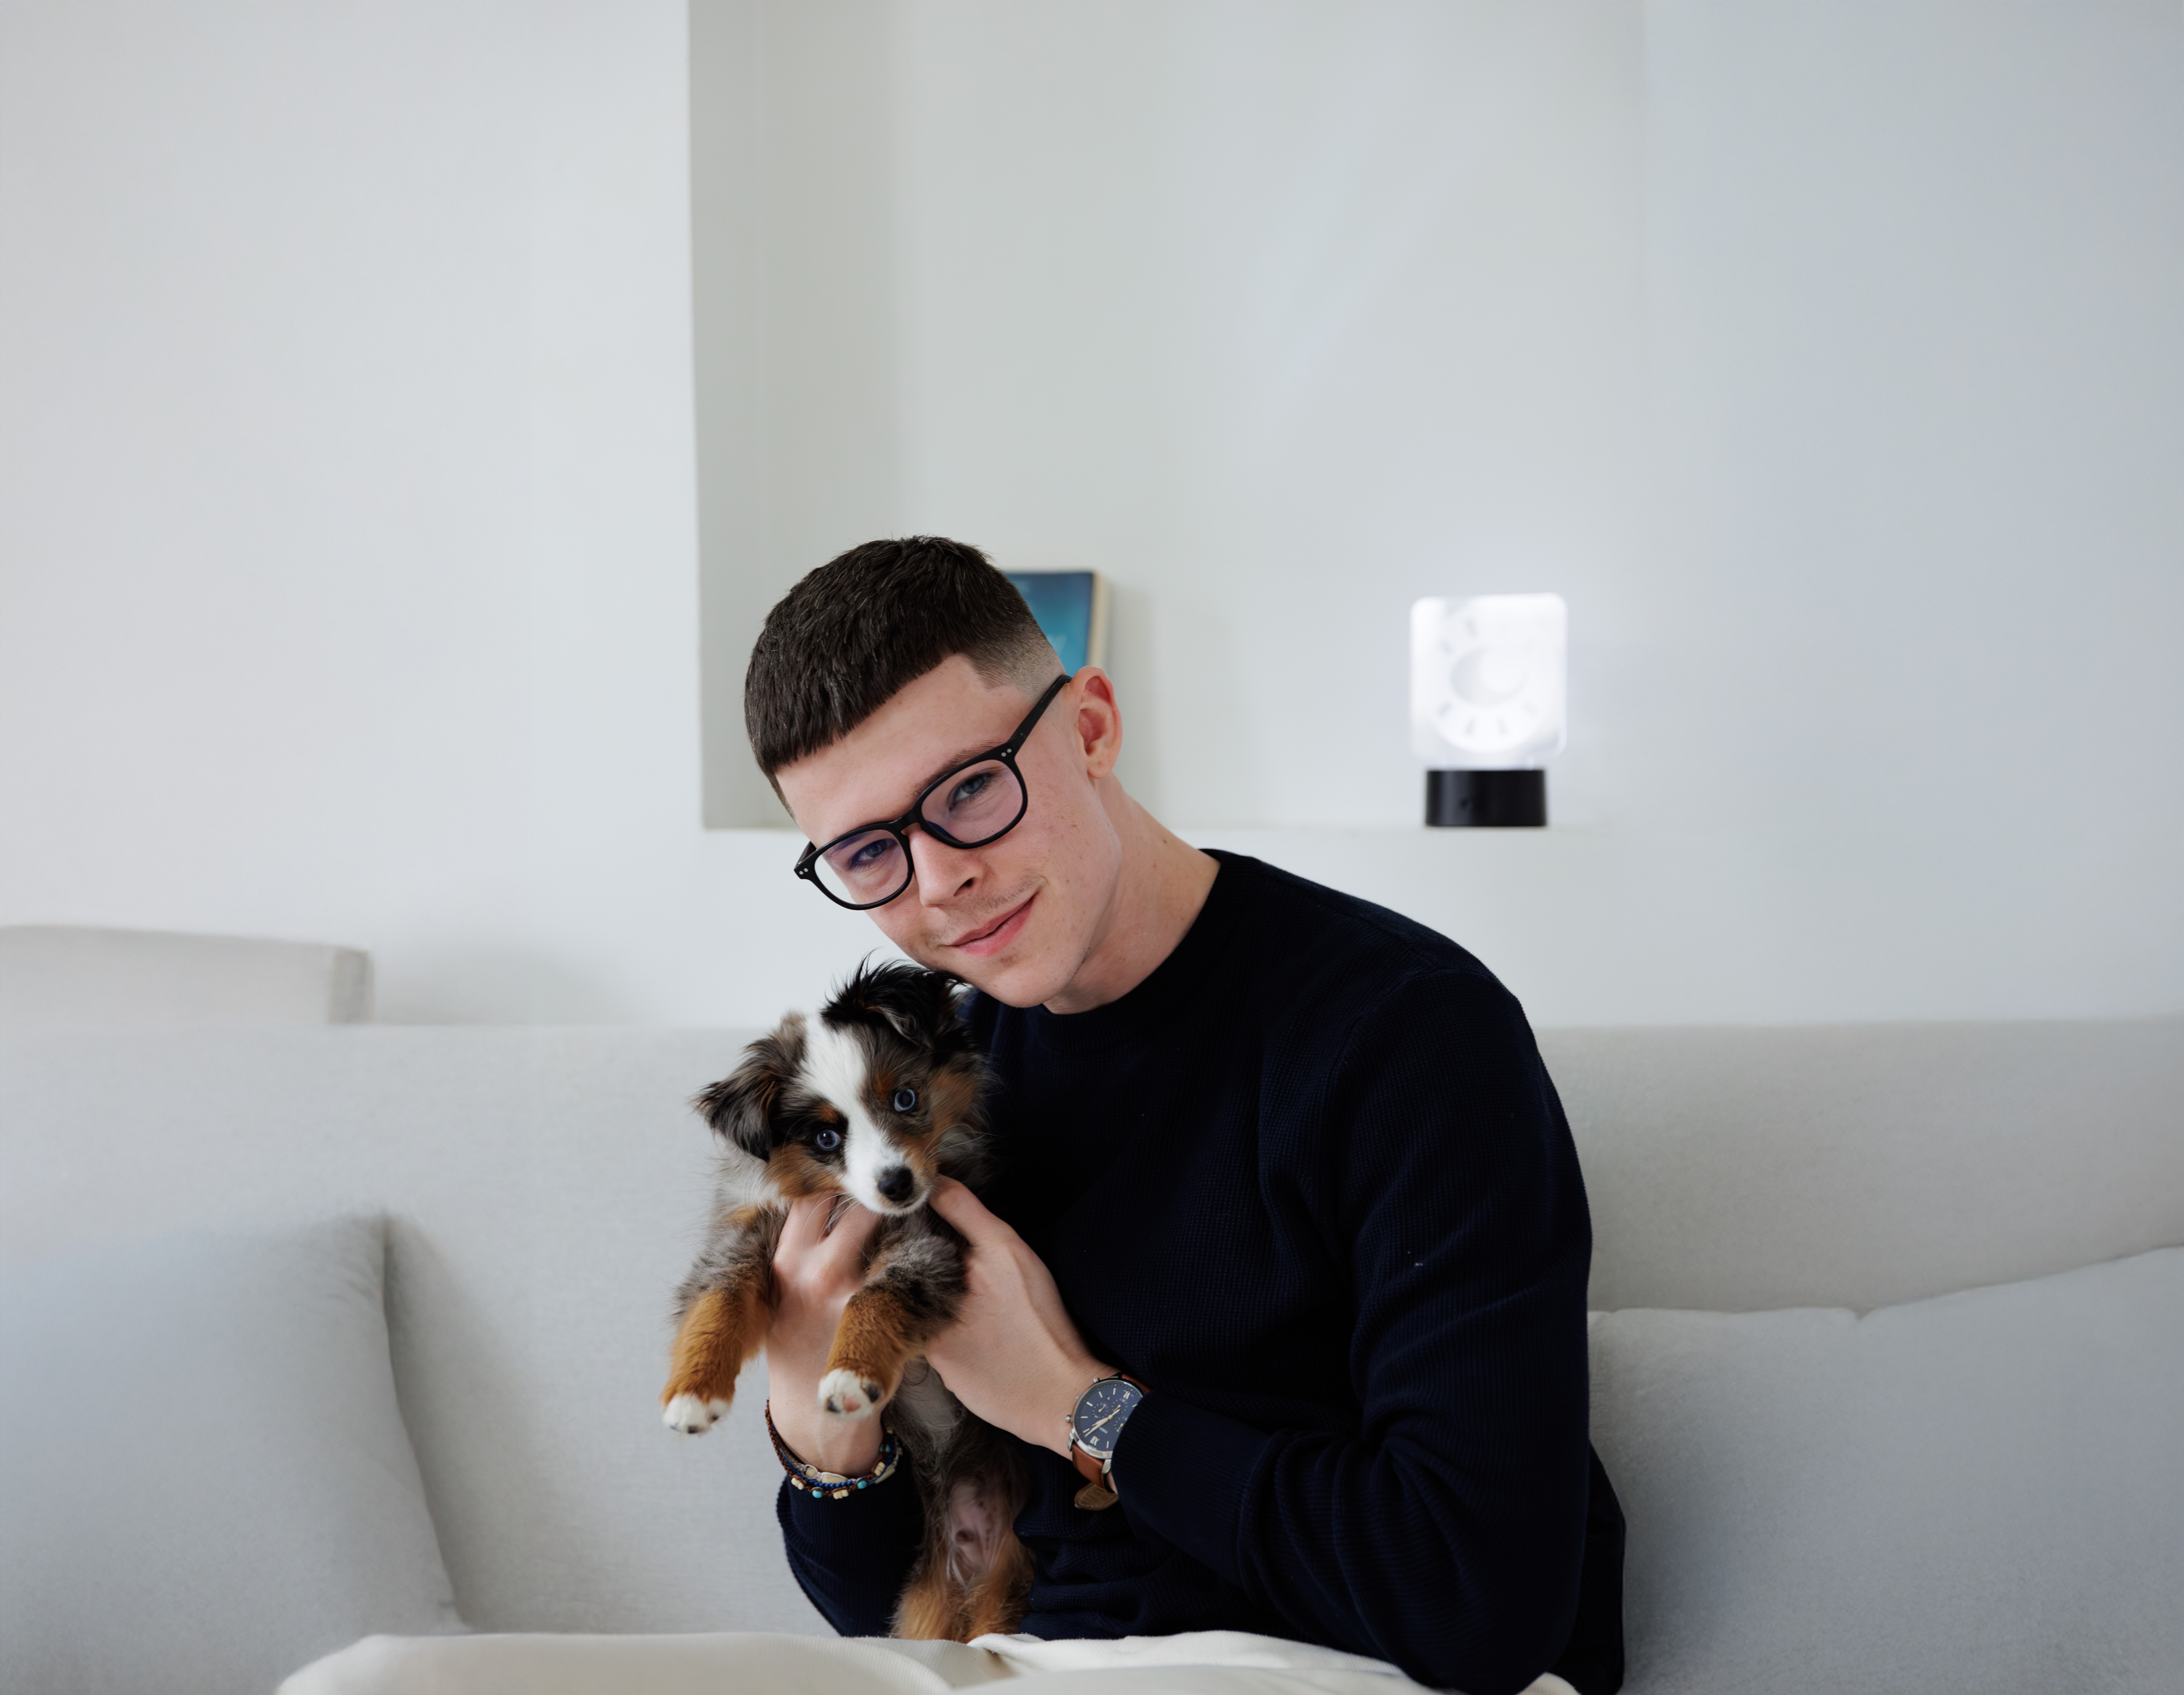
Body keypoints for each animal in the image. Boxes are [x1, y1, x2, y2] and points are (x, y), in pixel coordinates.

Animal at [655, 965, 1031, 1642]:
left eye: (906, 1099)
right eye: (827, 1138)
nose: (897, 1185)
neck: (850, 1207)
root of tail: (967, 1550)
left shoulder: (931, 1246)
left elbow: (876, 1298)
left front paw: (851, 1375)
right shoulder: (745, 1236)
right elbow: (717, 1301)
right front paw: (694, 1393)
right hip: (924, 1607)